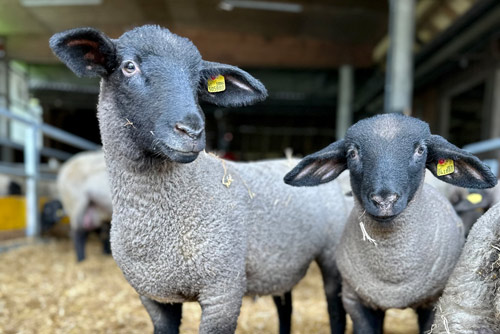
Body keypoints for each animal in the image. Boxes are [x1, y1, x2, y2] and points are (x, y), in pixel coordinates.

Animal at [49, 26, 348, 334]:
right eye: (129, 66)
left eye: (197, 79)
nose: (192, 131)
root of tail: (292, 158)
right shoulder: (154, 297)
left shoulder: (223, 292)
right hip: (279, 266)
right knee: (285, 304)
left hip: (330, 254)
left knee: (334, 305)